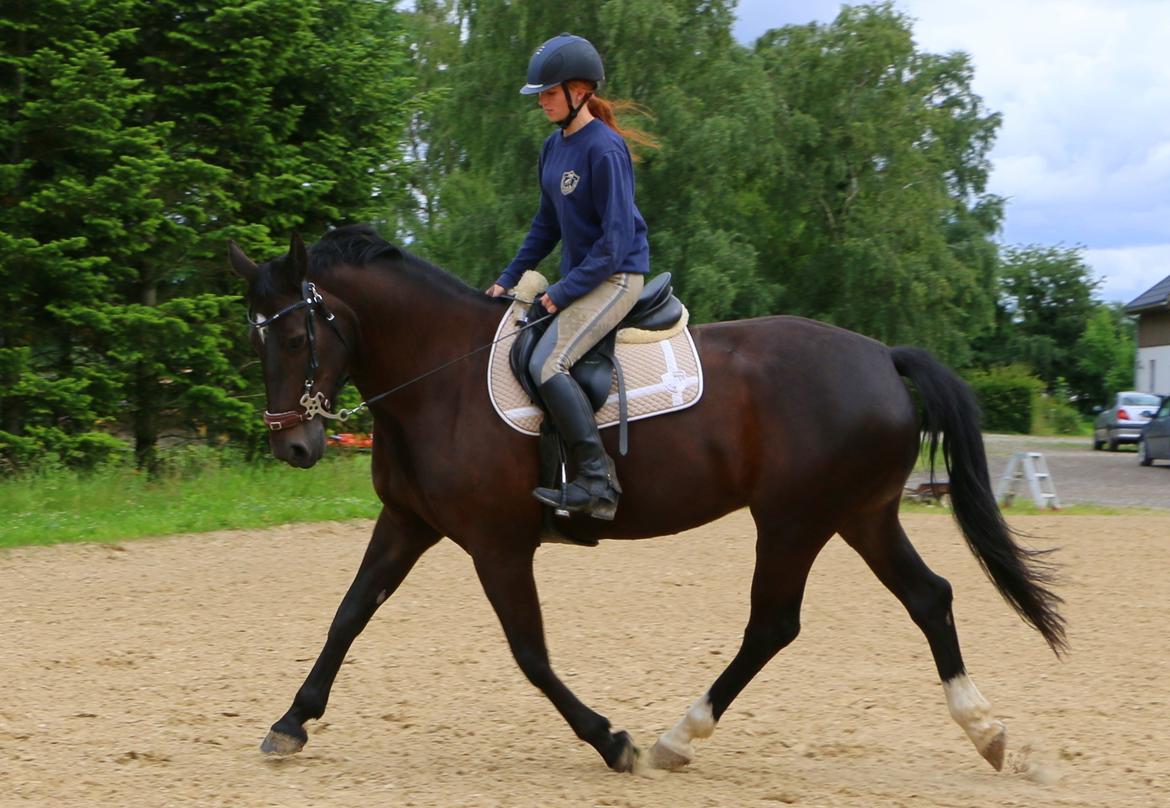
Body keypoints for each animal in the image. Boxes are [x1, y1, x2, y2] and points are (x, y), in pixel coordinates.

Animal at [230, 225, 1071, 776]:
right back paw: (986, 733)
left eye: (298, 339)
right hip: (860, 516)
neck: (442, 377)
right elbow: (349, 614)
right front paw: (290, 722)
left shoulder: (498, 545)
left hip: (794, 521)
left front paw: (611, 740)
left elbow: (530, 652)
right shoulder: (407, 523)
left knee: (774, 624)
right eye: (255, 339)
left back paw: (676, 736)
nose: (293, 447)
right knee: (929, 597)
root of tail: (880, 356)